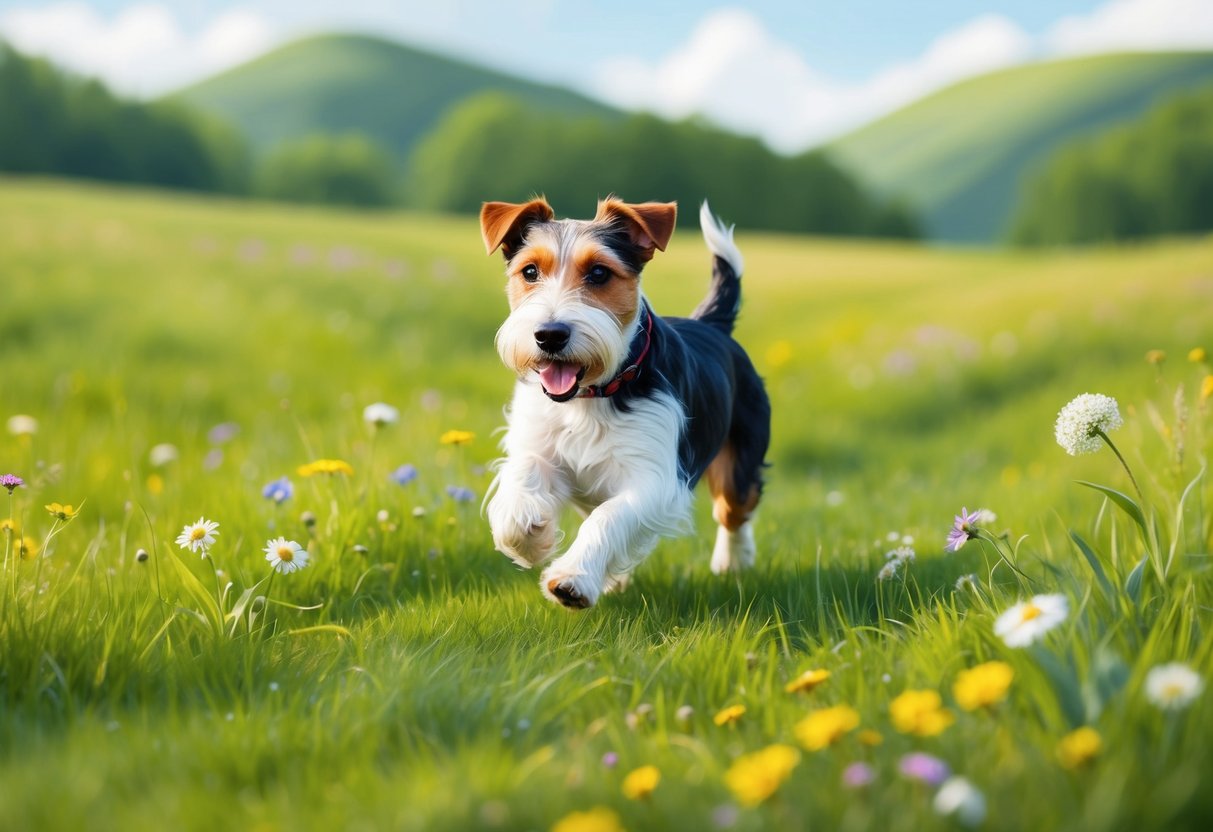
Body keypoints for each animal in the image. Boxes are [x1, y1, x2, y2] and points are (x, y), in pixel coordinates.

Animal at [480, 198, 766, 608]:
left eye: (599, 273)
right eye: (530, 271)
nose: (549, 335)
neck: (590, 395)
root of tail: (711, 324)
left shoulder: (655, 478)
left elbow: (609, 517)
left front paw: (573, 578)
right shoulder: (538, 441)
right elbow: (524, 472)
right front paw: (527, 535)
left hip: (742, 452)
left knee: (733, 508)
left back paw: (733, 561)